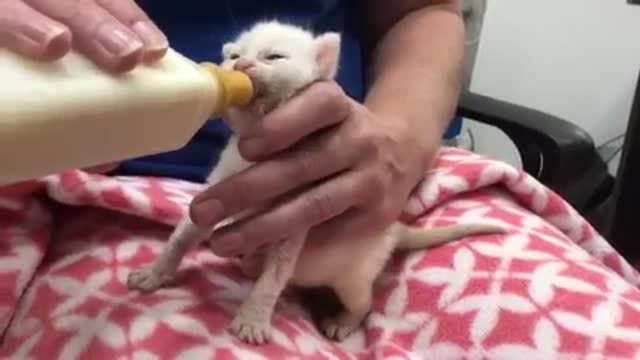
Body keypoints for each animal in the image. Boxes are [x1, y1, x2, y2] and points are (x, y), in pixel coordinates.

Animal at [126, 20, 504, 346]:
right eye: (234, 57)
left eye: (274, 56)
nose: (241, 65)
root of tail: (392, 231)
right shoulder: (217, 188)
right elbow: (185, 232)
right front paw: (154, 272)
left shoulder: (294, 218)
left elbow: (274, 277)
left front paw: (253, 319)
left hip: (354, 276)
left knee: (364, 302)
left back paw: (343, 321)